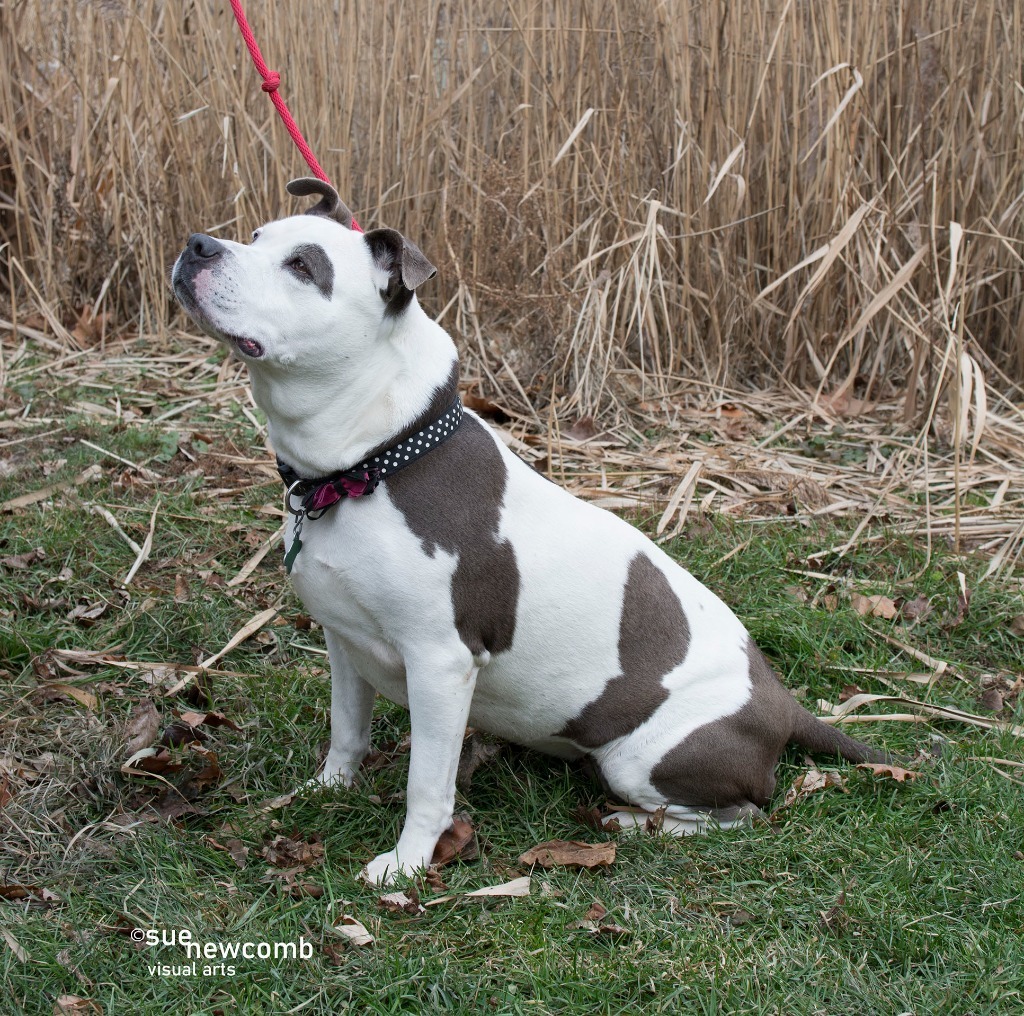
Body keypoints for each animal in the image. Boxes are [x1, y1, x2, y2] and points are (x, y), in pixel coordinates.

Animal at [172, 178, 884, 884]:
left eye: (303, 267)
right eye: (257, 236)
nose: (198, 244)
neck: (374, 462)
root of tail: (784, 704)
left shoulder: (440, 665)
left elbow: (426, 783)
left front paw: (407, 865)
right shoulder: (344, 641)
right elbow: (346, 732)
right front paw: (325, 791)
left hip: (643, 756)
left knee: (741, 813)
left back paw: (632, 823)